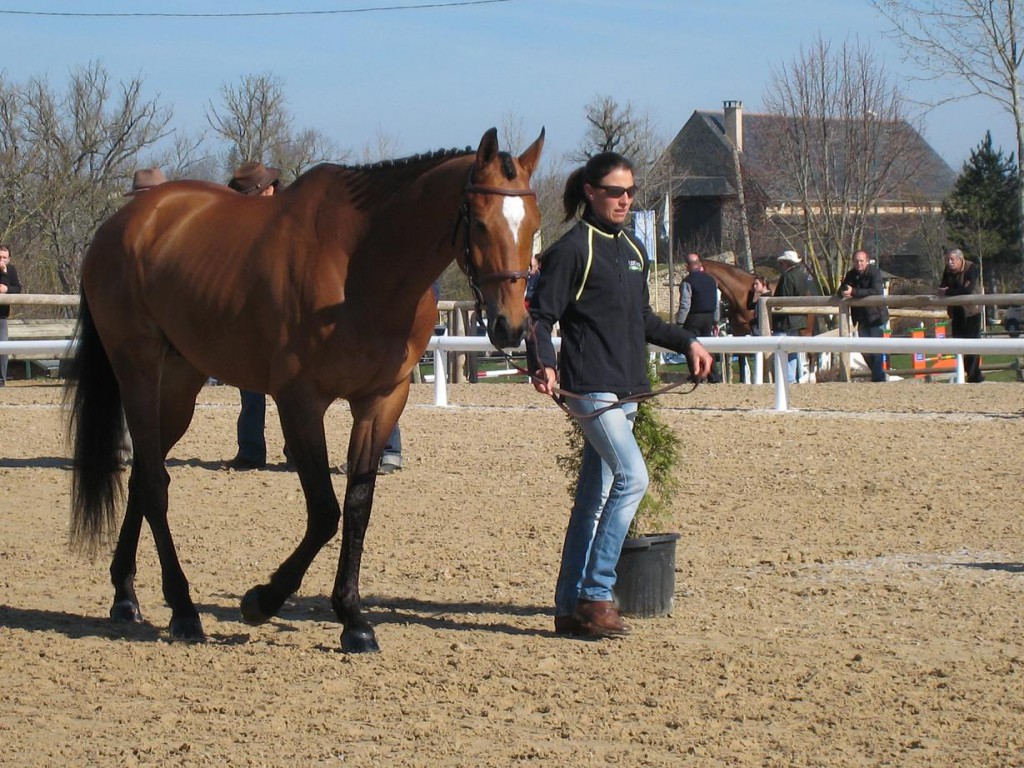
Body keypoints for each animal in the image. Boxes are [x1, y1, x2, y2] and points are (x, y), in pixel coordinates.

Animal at [64, 128, 544, 655]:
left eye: (533, 223)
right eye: (478, 222)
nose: (511, 326)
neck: (363, 265)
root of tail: (123, 223)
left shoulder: (381, 400)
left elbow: (357, 507)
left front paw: (353, 619)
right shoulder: (300, 402)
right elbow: (324, 512)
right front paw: (261, 600)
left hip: (180, 386)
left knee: (143, 479)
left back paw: (125, 595)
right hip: (140, 373)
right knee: (153, 483)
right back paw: (184, 610)